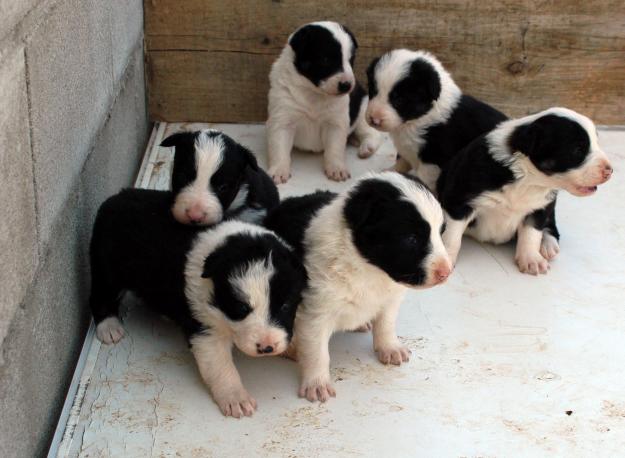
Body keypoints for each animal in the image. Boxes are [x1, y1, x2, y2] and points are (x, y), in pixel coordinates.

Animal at [262, 171, 448, 400]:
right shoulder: (315, 313)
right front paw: (317, 383)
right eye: (411, 239)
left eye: (441, 232)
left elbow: (386, 324)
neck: (368, 269)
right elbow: (317, 352)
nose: (446, 272)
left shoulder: (390, 299)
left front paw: (390, 348)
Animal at [266, 20, 382, 184]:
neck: (314, 93)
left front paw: (336, 169)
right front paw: (278, 170)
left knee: (371, 133)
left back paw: (366, 147)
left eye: (351, 60)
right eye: (325, 60)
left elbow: (335, 149)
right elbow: (279, 147)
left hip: (363, 110)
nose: (347, 85)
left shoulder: (336, 123)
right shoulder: (282, 120)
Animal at [366, 49, 508, 191]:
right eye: (373, 91)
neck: (416, 121)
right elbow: (401, 161)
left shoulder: (432, 160)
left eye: (399, 100)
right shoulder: (406, 149)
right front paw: (390, 172)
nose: (374, 119)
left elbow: (424, 179)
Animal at [436, 106, 612, 276]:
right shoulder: (459, 200)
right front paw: (446, 257)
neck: (527, 180)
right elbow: (452, 235)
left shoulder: (540, 208)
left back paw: (548, 245)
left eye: (596, 143)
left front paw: (532, 260)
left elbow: (531, 234)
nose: (610, 171)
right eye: (578, 150)